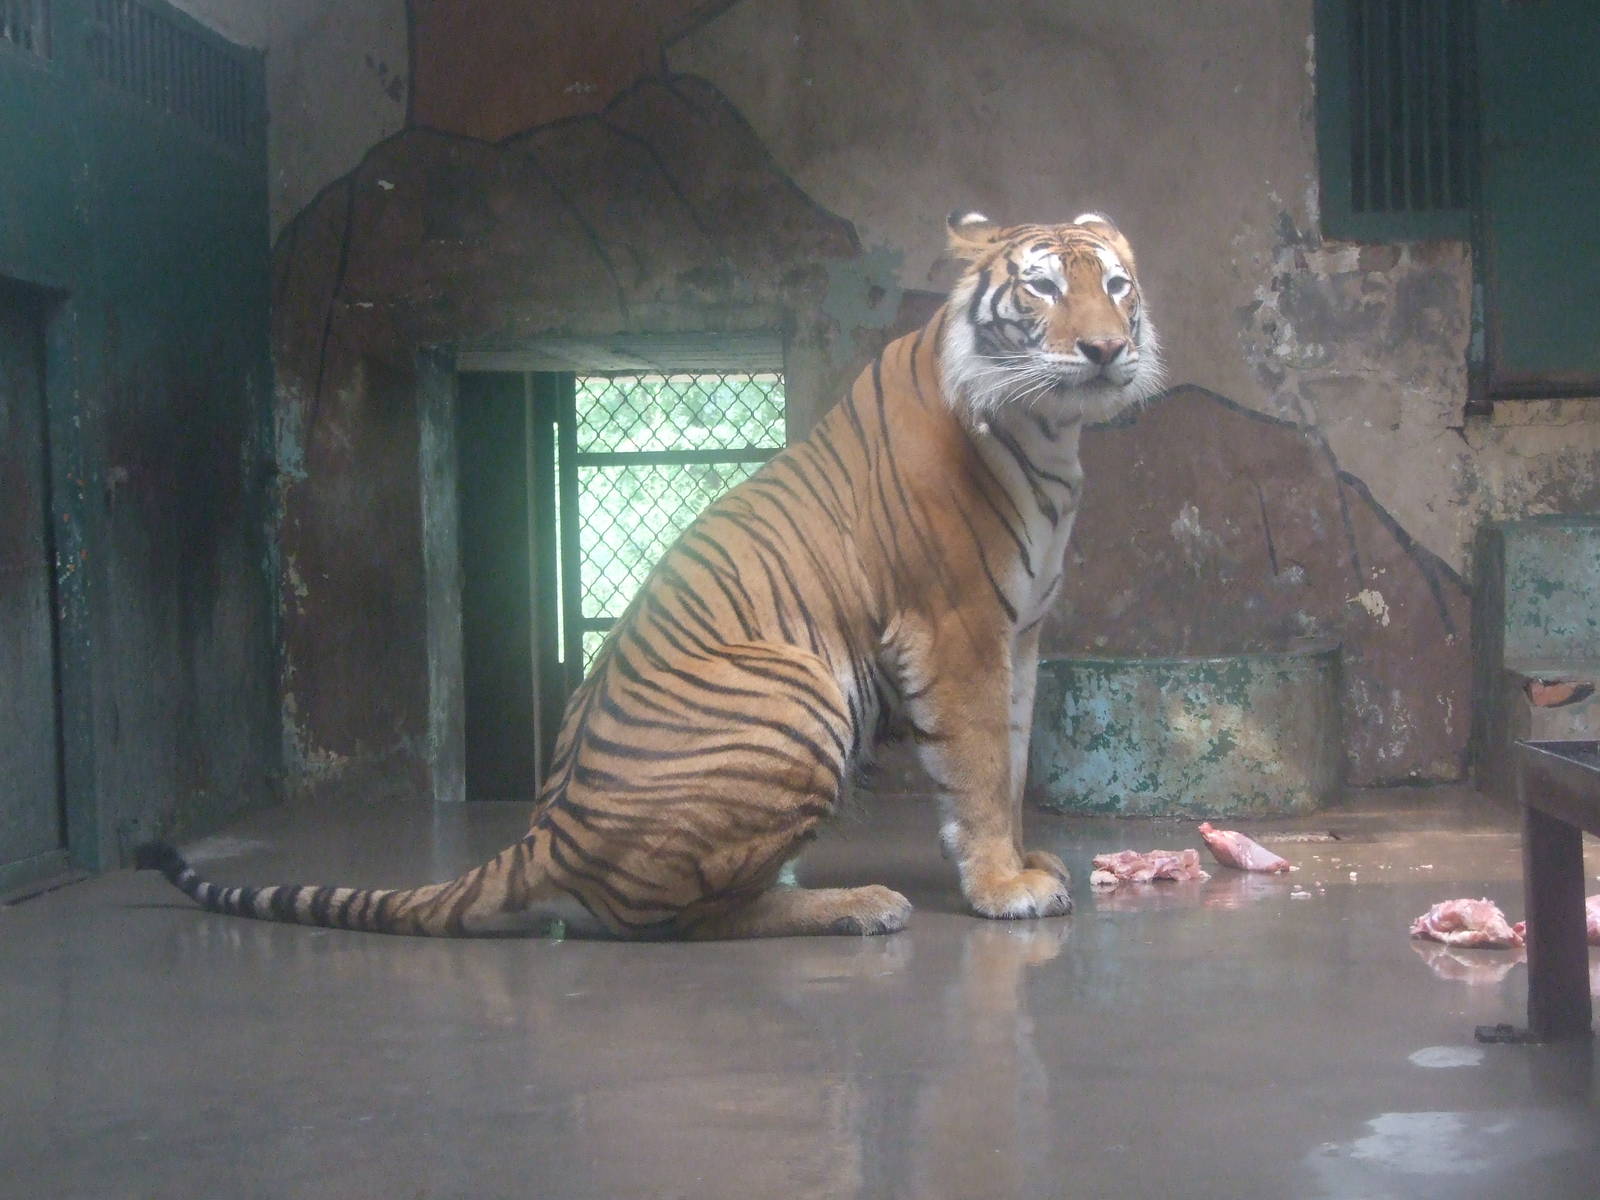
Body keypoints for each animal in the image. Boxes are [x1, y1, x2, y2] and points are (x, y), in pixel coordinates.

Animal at [138, 210, 1163, 939]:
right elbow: (984, 766)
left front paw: (1029, 863)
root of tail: (538, 840)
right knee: (692, 918)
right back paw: (856, 904)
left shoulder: (1018, 636)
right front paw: (1003, 887)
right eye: (1041, 287)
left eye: (1116, 287)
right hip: (796, 692)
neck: (1050, 435)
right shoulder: (958, 631)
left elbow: (1016, 756)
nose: (1107, 349)